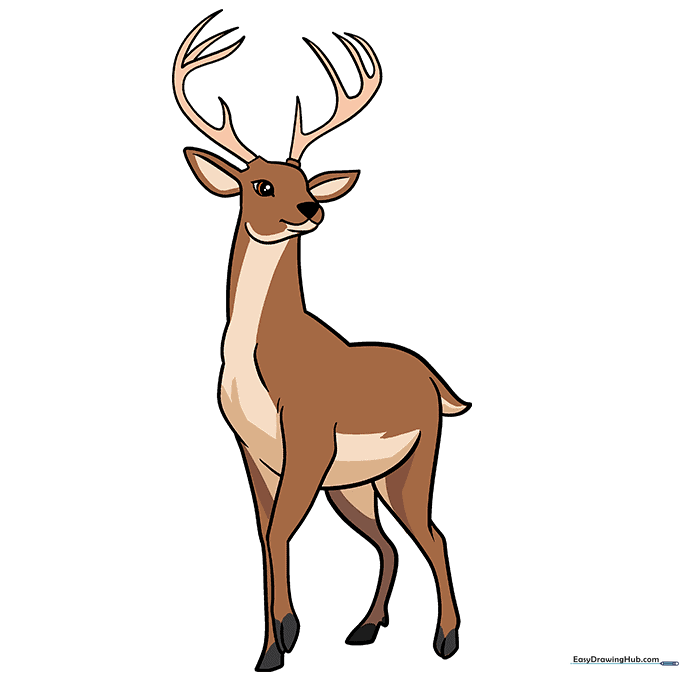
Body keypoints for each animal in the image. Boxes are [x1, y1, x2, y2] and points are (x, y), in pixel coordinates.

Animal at [173, 10, 471, 672]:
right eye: (260, 184)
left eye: (306, 178)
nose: (311, 208)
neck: (262, 359)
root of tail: (437, 382)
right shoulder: (254, 450)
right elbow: (265, 536)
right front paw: (275, 643)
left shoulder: (306, 441)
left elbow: (281, 531)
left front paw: (280, 640)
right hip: (357, 485)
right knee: (388, 543)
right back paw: (364, 628)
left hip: (412, 465)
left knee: (433, 535)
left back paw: (445, 641)